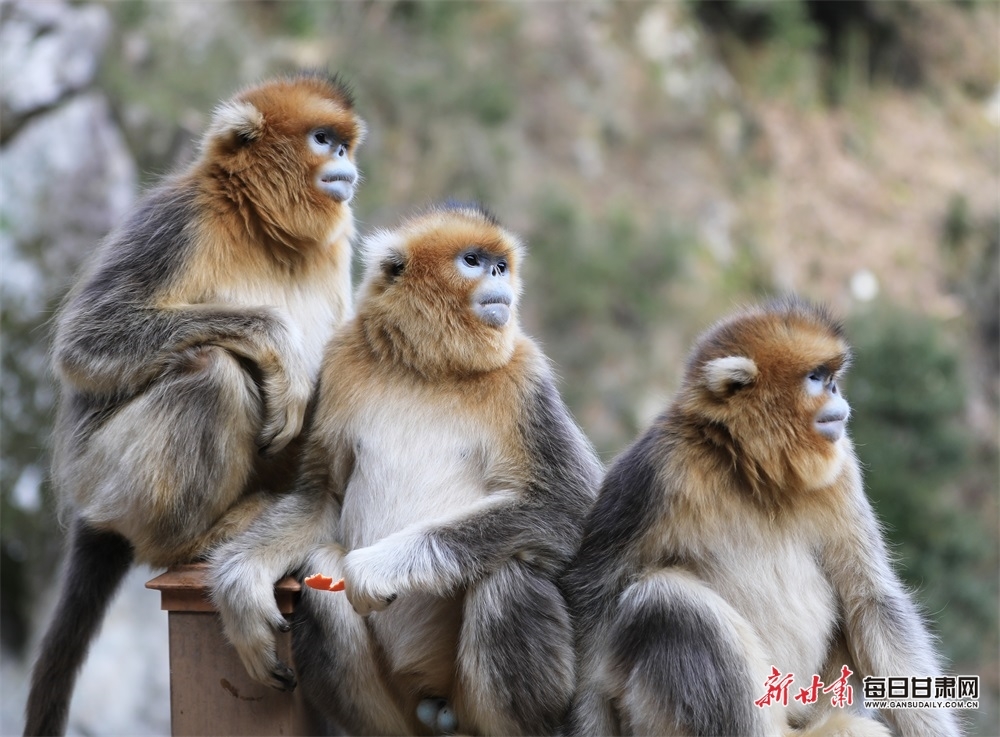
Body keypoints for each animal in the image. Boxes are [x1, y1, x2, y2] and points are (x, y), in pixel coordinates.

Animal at [25, 72, 366, 732]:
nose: (346, 164)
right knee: (214, 371)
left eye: (343, 144)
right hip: (111, 477)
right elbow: (85, 343)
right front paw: (277, 344)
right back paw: (193, 542)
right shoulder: (180, 220)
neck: (262, 228)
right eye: (323, 141)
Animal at [564, 298, 960, 736]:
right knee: (668, 600)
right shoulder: (657, 467)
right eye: (817, 378)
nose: (836, 391)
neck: (755, 471)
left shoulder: (841, 470)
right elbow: (592, 606)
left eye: (831, 378)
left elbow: (871, 600)